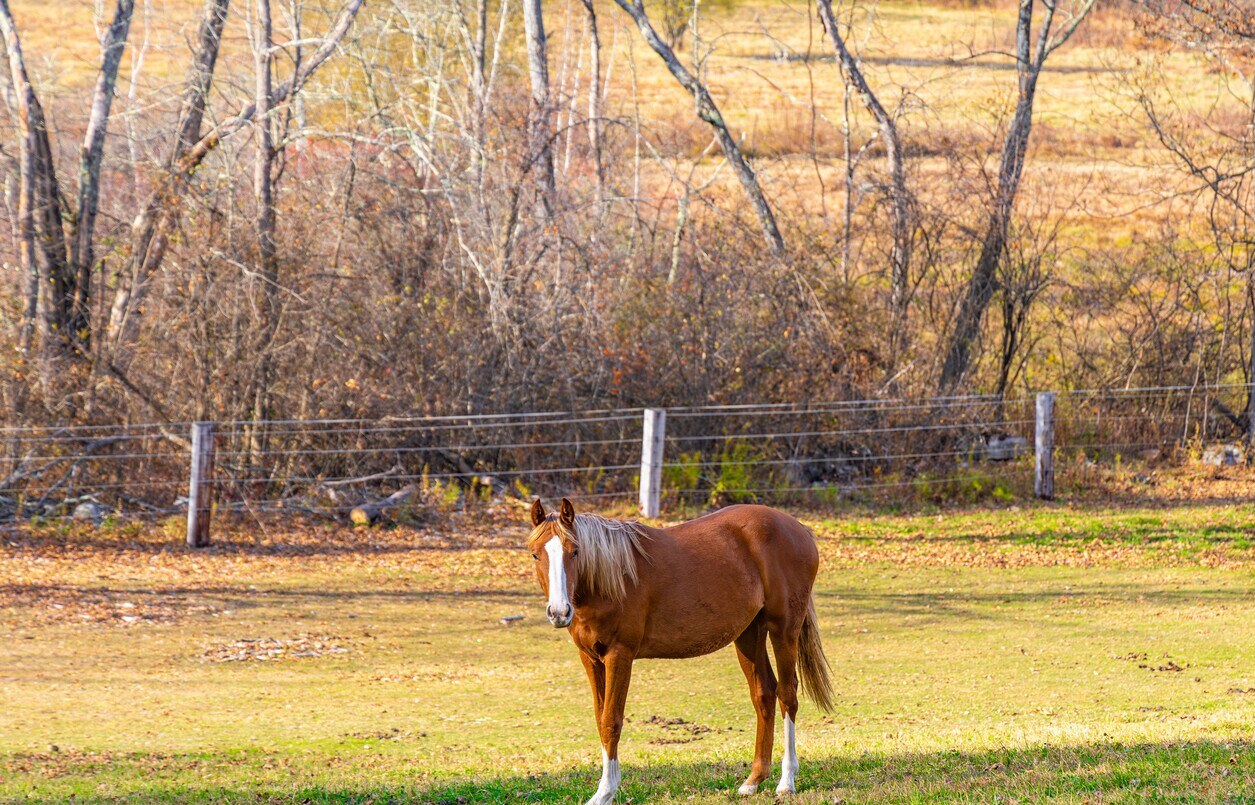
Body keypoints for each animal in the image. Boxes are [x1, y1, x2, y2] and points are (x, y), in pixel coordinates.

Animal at [527, 498, 834, 804]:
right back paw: (753, 781)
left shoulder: (619, 655)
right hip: (749, 633)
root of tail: (799, 529)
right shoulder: (590, 659)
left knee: (787, 695)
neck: (610, 578)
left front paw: (605, 792)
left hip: (784, 629)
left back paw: (786, 781)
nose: (559, 612)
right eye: (535, 555)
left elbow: (611, 722)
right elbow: (600, 719)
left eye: (575, 551)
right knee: (764, 695)